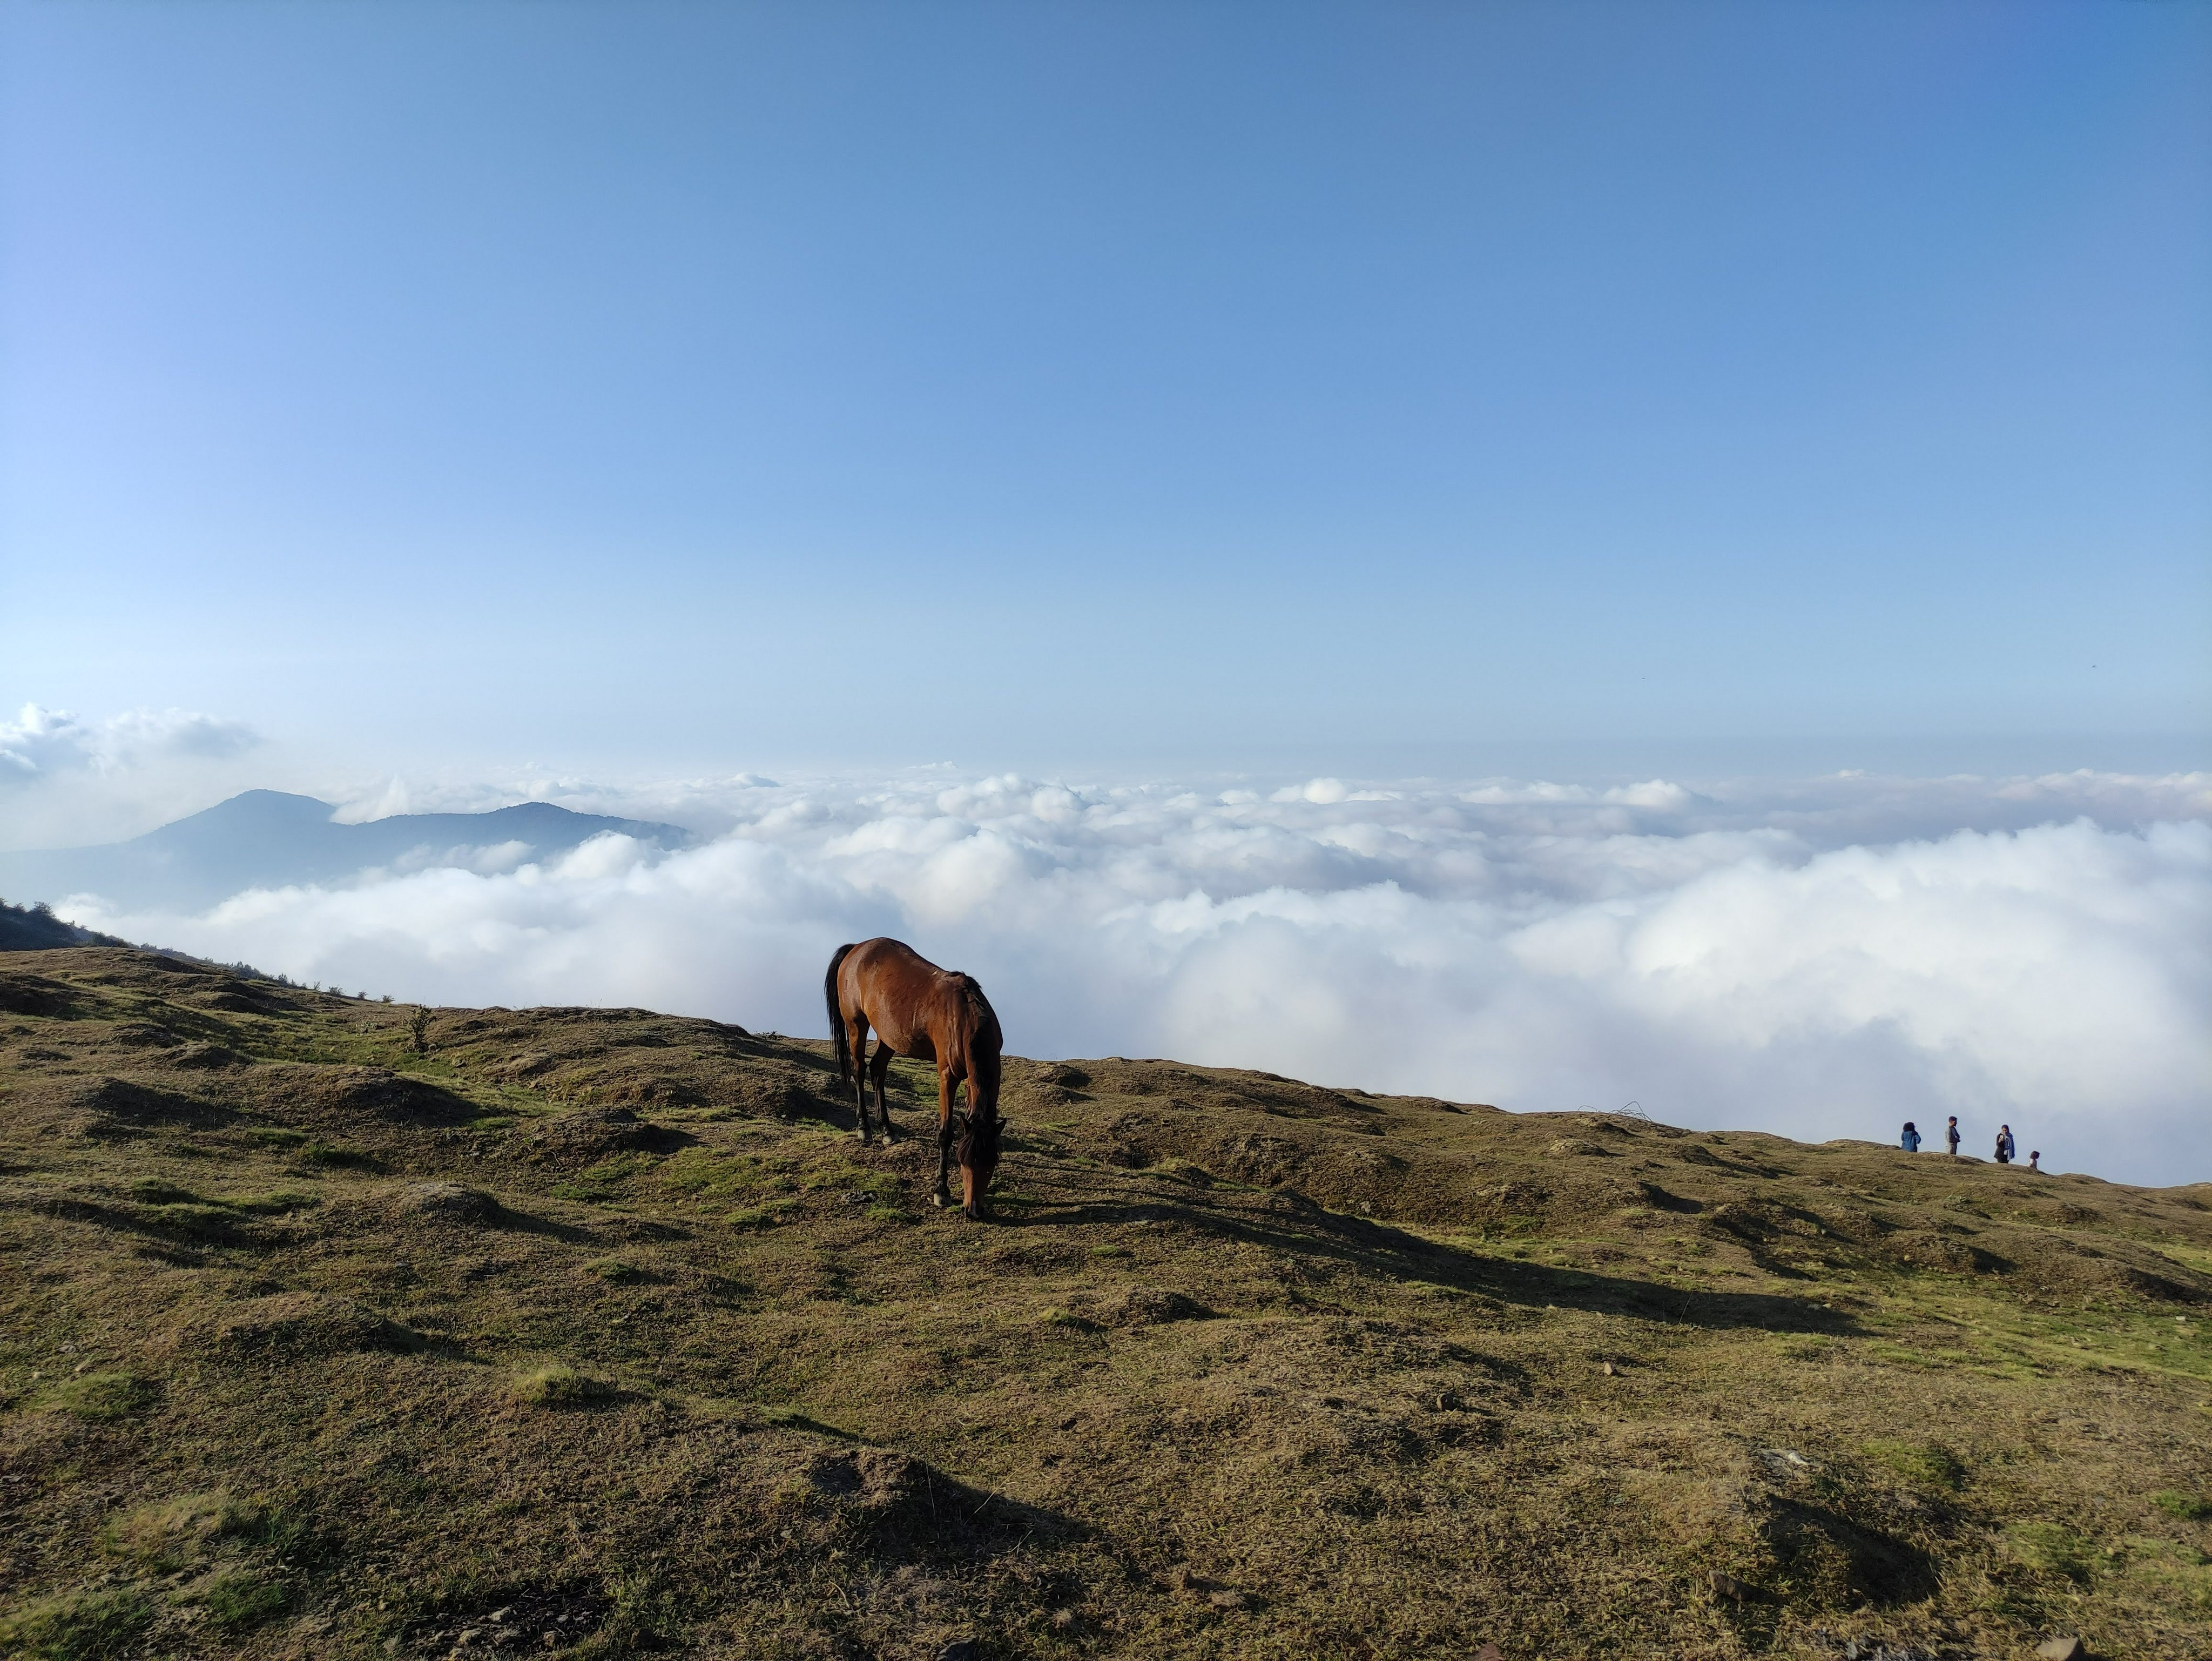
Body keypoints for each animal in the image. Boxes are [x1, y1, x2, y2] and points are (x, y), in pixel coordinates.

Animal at [824, 938, 1005, 1219]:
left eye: (991, 1163)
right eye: (963, 1162)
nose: (973, 1210)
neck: (965, 1017)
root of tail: (857, 947)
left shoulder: (970, 1082)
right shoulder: (948, 1076)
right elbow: (945, 1134)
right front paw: (941, 1191)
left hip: (890, 1036)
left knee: (877, 1070)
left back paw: (887, 1130)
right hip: (856, 1025)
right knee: (860, 1070)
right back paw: (864, 1128)